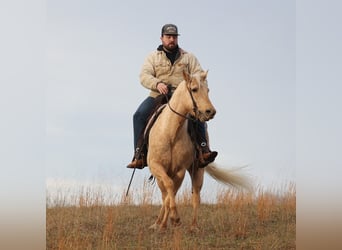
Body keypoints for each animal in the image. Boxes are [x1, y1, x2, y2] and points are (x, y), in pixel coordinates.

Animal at [148, 70, 250, 230]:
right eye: (194, 89)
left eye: (208, 90)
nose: (210, 112)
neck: (170, 133)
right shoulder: (156, 166)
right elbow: (168, 189)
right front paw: (167, 221)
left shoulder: (180, 170)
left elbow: (172, 191)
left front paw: (175, 219)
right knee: (166, 193)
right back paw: (159, 223)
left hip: (198, 170)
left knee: (195, 195)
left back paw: (193, 226)